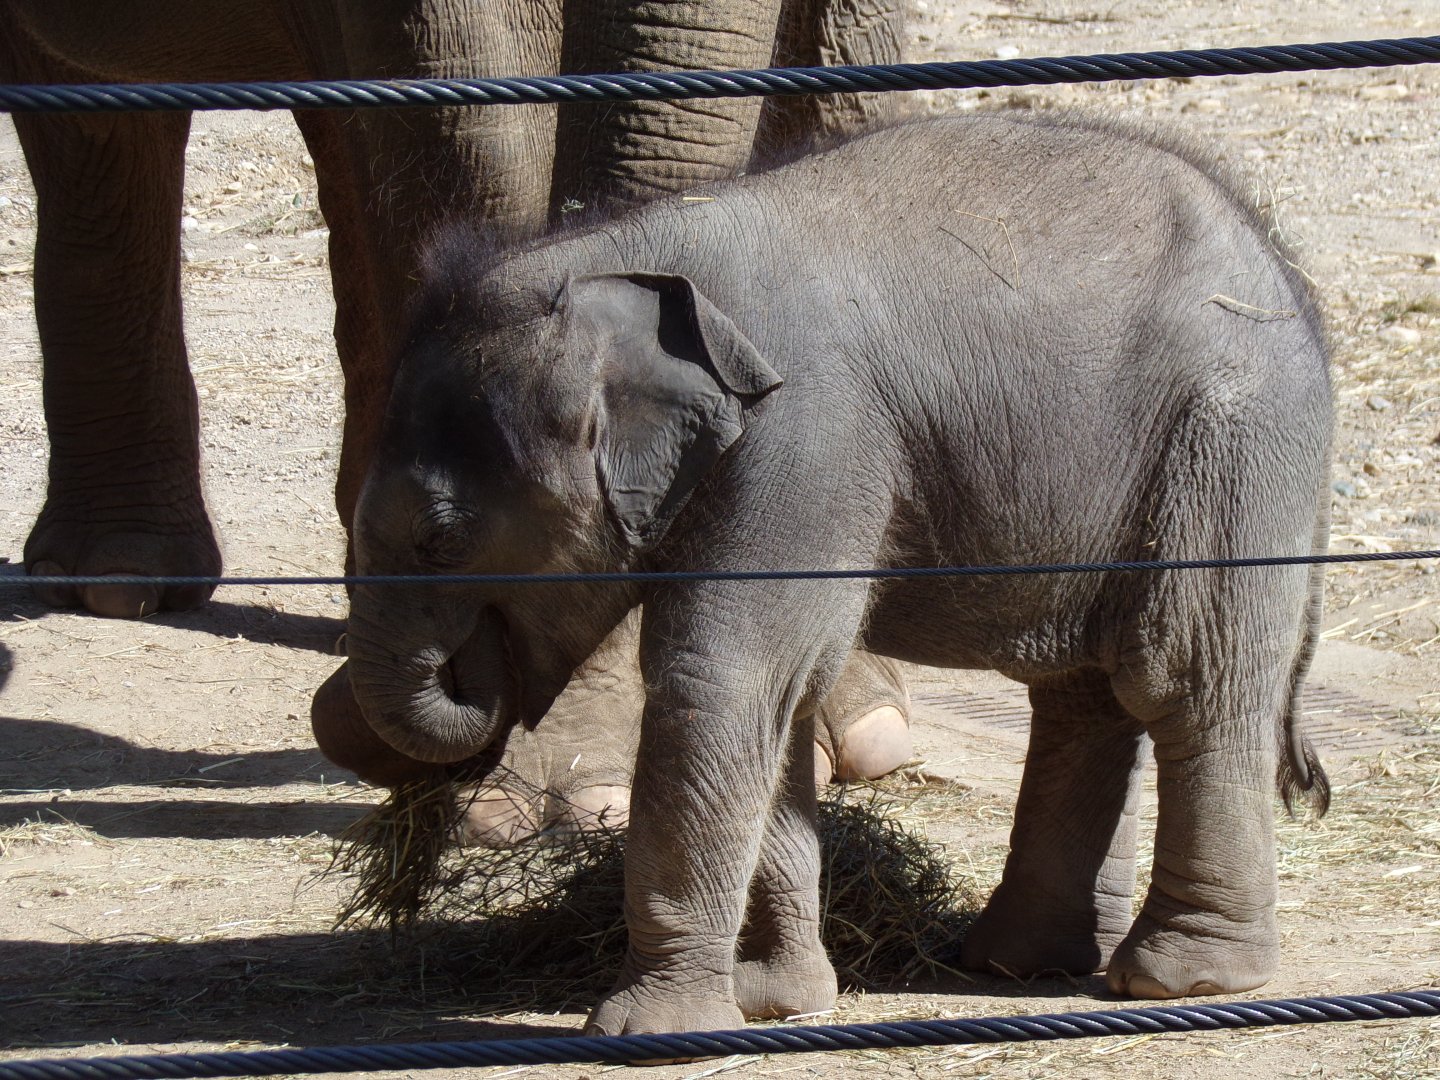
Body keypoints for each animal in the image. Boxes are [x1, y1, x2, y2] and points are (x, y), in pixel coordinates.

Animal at [4, 0, 914, 829]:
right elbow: (484, 110)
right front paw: (561, 800)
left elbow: (839, 64)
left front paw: (852, 727)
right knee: (98, 127)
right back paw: (118, 580)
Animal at [332, 111, 1334, 1034]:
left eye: (441, 536)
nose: (473, 681)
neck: (619, 255)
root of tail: (1289, 276)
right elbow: (783, 691)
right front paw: (772, 1003)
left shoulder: (809, 433)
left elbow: (724, 673)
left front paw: (647, 1030)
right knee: (1083, 692)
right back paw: (1022, 964)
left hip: (1228, 435)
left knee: (1180, 673)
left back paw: (1181, 979)